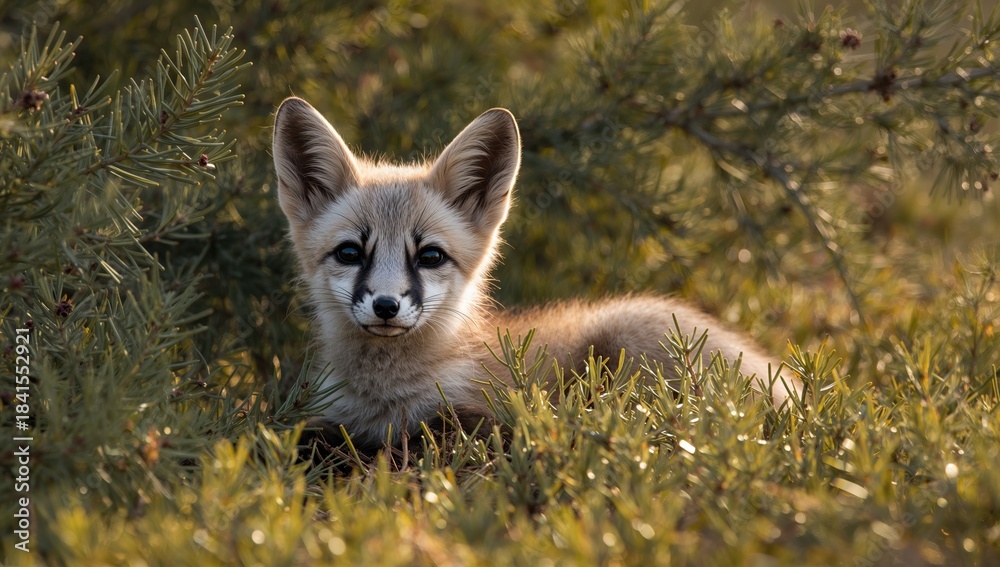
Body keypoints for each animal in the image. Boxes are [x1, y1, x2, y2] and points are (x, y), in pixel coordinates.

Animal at [271, 97, 800, 455]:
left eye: (430, 256)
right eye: (349, 252)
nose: (386, 306)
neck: (382, 398)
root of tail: (785, 381)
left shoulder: (474, 413)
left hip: (627, 343)